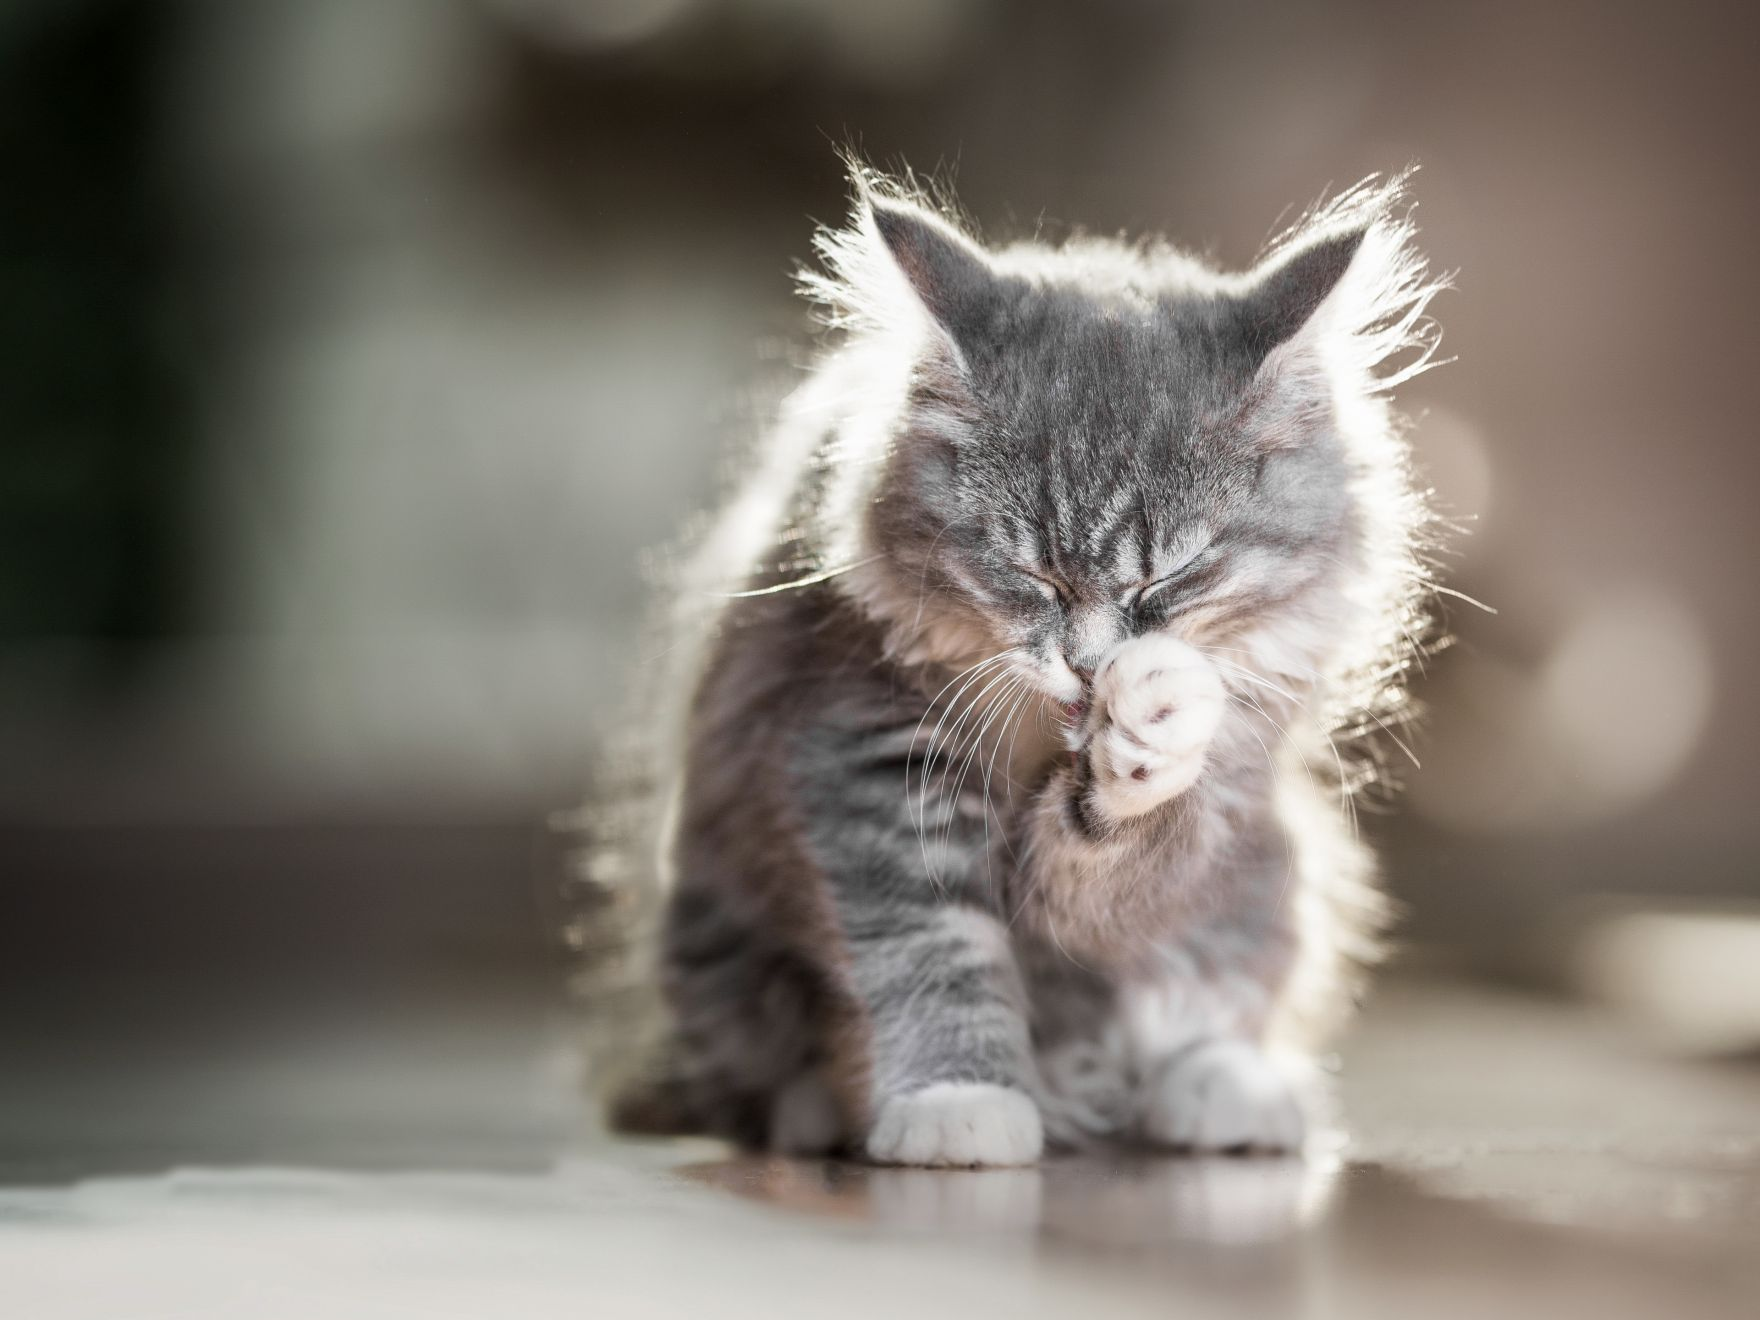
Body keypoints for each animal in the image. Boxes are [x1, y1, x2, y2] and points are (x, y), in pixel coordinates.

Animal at [591, 165, 1443, 1168]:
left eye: (1169, 577)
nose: (1088, 665)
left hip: (1284, 869)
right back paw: (816, 1112)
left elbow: (1124, 862)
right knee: (741, 1073)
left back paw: (1223, 1088)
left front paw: (1150, 728)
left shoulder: (1226, 785)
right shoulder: (861, 754)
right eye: (1031, 574)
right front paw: (959, 1101)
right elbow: (934, 954)